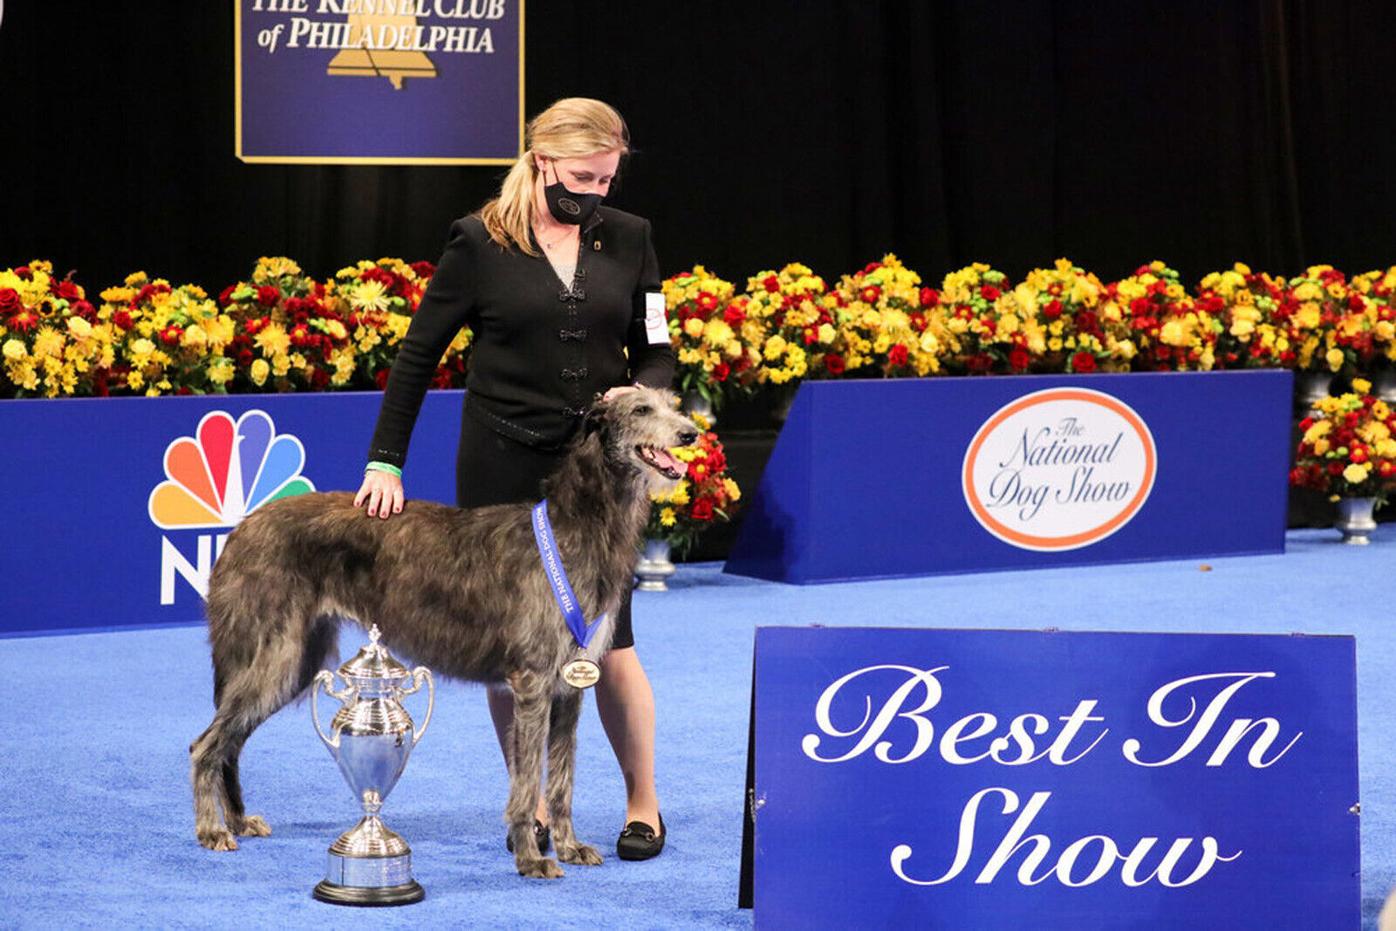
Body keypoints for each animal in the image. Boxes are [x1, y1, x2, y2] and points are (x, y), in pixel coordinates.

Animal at [191, 388, 698, 882]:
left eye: (673, 404)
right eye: (641, 409)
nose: (691, 433)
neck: (575, 525)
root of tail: (242, 528)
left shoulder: (572, 682)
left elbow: (561, 780)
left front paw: (570, 846)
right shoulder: (533, 681)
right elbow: (528, 781)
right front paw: (531, 859)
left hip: (298, 659)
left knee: (230, 741)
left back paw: (237, 819)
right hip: (275, 653)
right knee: (206, 744)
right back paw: (212, 828)